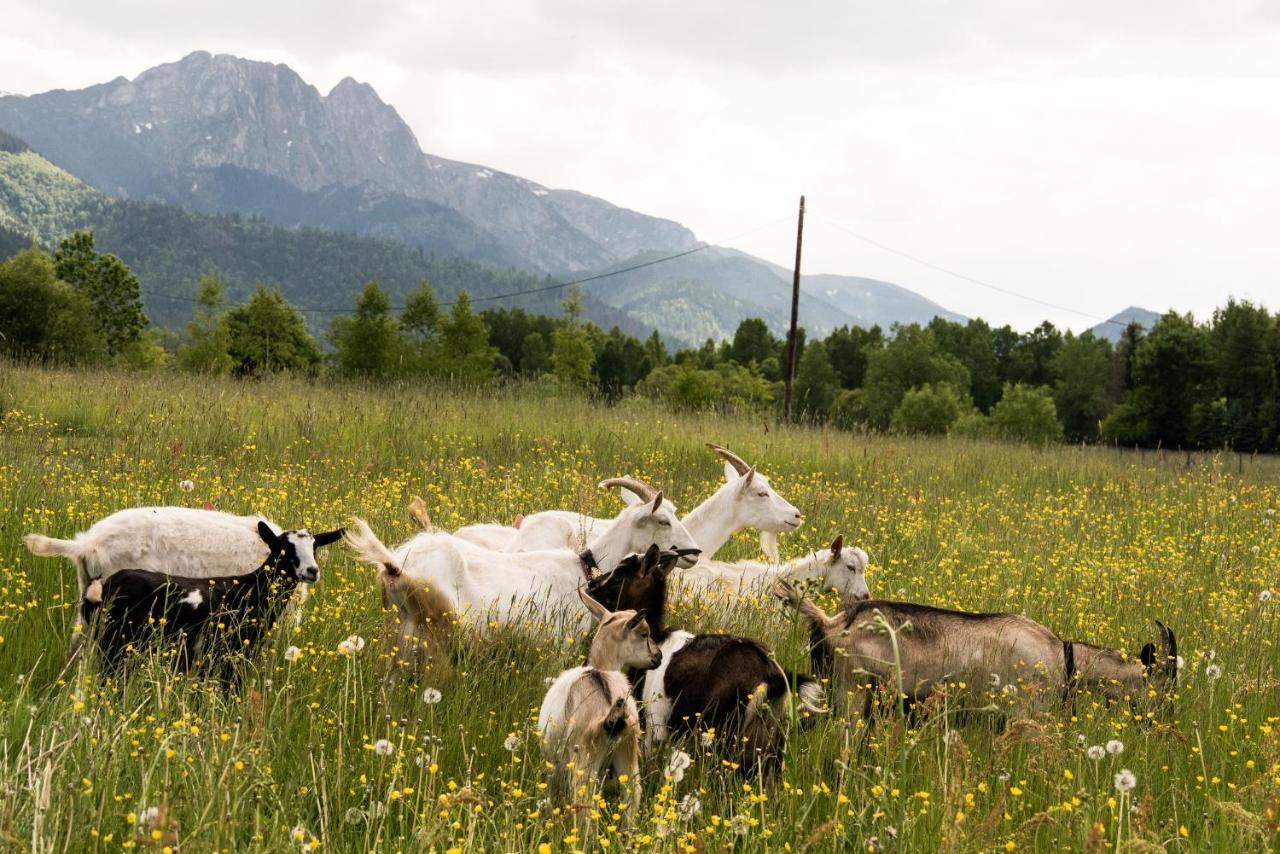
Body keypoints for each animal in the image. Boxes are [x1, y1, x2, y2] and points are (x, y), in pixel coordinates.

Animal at [78, 522, 343, 681]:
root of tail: (106, 585)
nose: (312, 571)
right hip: (115, 643)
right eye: (285, 548)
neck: (253, 588)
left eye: (315, 547)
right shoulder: (232, 653)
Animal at [537, 588, 660, 809]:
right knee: (632, 793)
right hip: (628, 751)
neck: (599, 667)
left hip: (584, 758)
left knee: (584, 800)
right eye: (644, 634)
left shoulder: (553, 762)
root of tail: (613, 714)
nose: (658, 656)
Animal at [586, 545, 824, 778]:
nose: (591, 585)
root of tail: (773, 677)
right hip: (772, 744)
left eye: (619, 576)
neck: (657, 638)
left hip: (723, 733)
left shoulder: (655, 725)